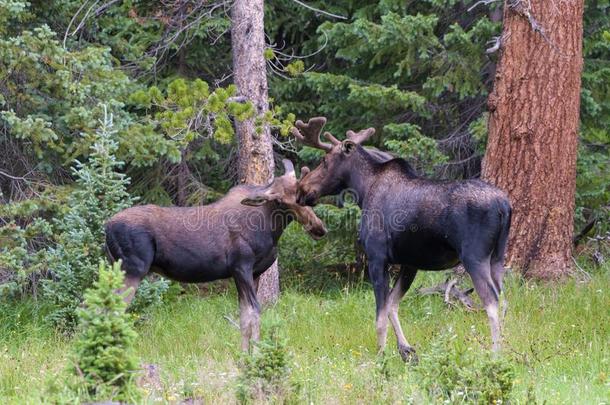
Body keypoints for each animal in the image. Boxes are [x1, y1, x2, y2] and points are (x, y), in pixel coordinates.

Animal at [105, 159, 326, 348]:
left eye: (303, 196)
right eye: (280, 201)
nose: (318, 227)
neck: (270, 230)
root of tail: (106, 227)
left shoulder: (254, 273)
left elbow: (244, 316)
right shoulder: (241, 267)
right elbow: (254, 312)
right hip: (133, 268)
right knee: (112, 311)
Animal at [294, 117, 508, 360]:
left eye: (324, 160)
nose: (301, 190)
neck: (364, 190)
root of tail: (504, 206)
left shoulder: (377, 258)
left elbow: (380, 316)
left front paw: (381, 355)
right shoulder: (410, 263)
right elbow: (392, 305)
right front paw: (405, 350)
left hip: (474, 257)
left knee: (492, 301)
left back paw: (495, 355)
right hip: (497, 258)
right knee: (504, 300)